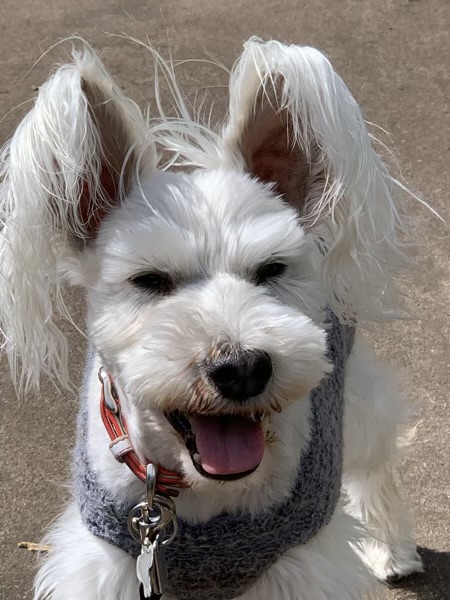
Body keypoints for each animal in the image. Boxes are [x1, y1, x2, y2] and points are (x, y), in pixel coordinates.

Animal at [0, 38, 424, 599]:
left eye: (272, 270)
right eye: (150, 280)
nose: (241, 368)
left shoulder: (299, 567)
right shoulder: (113, 561)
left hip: (355, 394)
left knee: (376, 466)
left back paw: (391, 549)